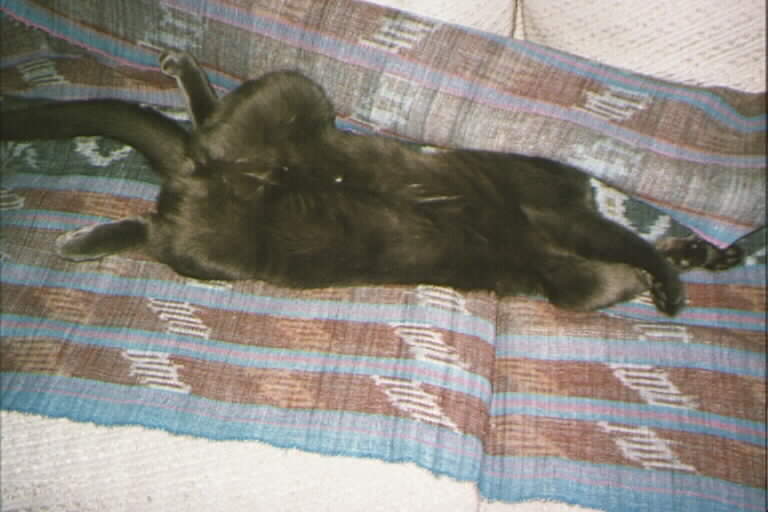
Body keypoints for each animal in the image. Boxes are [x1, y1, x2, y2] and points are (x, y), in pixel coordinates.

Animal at [0, 51, 743, 315]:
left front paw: (682, 262)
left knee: (159, 220)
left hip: (217, 242)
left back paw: (81, 240)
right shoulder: (558, 218)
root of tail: (197, 171)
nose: (700, 246)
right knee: (204, 131)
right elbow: (618, 256)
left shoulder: (565, 269)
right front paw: (666, 280)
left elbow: (599, 276)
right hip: (295, 97)